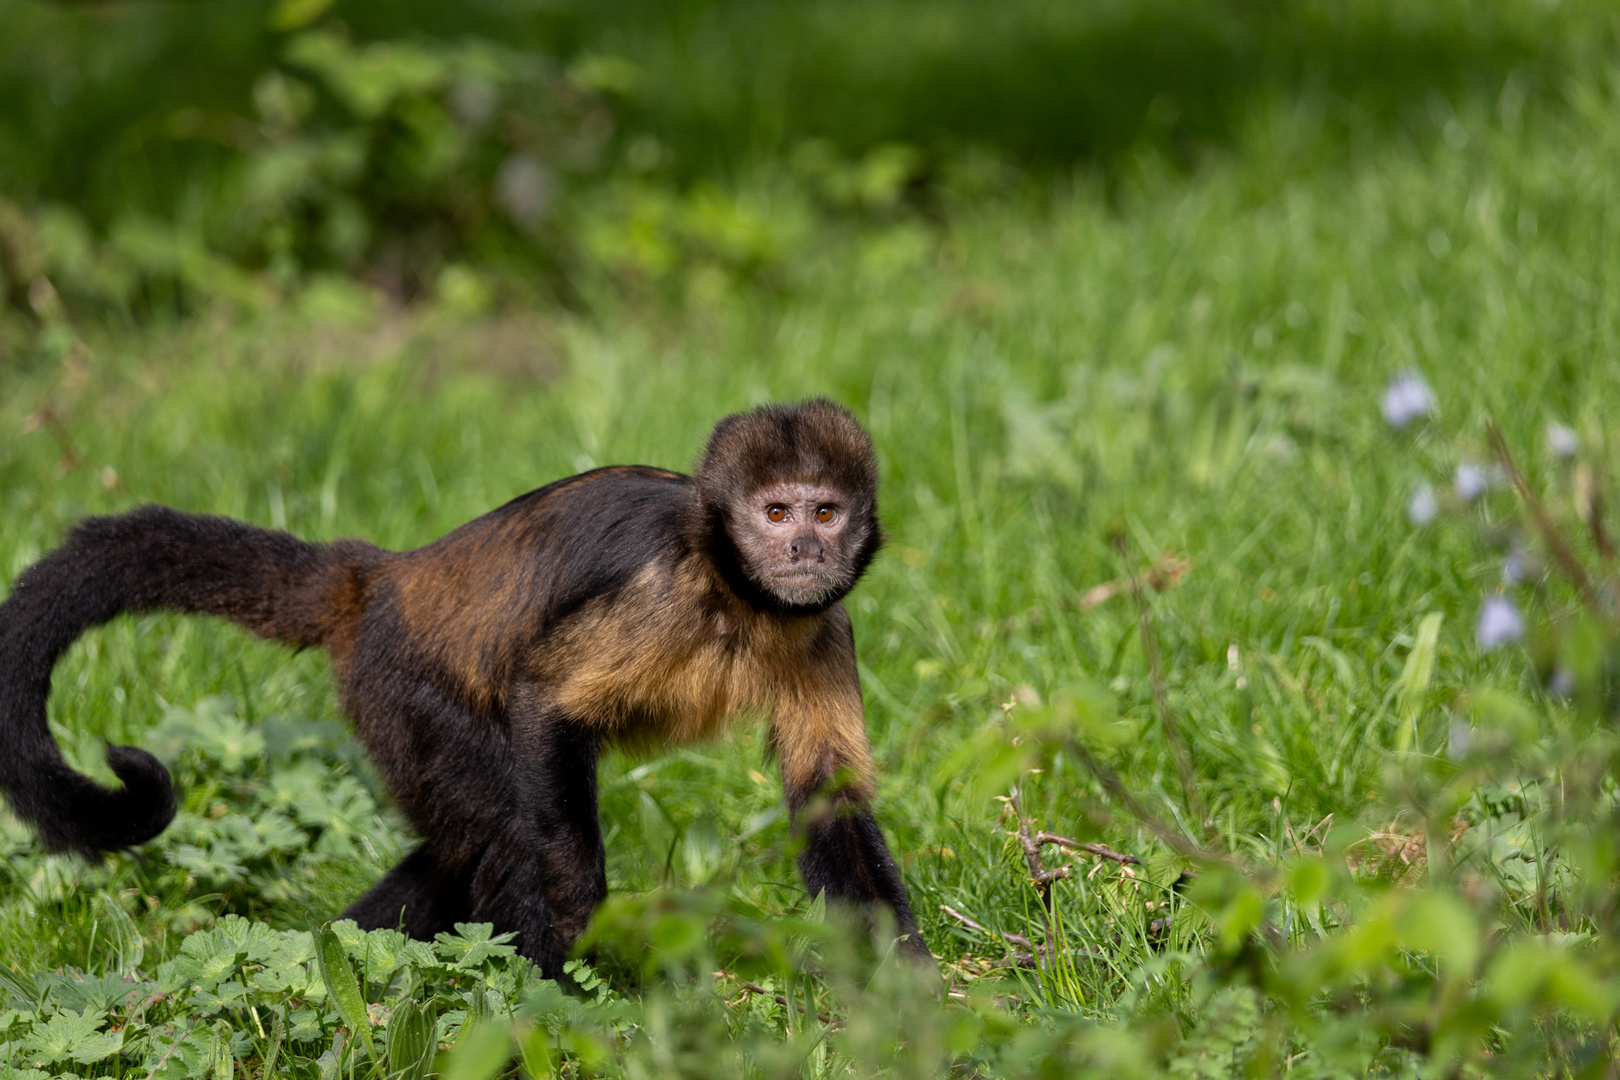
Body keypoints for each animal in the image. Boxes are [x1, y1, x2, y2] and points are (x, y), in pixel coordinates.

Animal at [0, 401, 933, 977]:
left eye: (825, 512)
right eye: (776, 514)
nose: (804, 550)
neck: (740, 597)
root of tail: (382, 580)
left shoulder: (824, 625)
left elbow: (828, 800)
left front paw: (913, 997)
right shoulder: (659, 592)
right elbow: (546, 704)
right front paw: (584, 934)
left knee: (455, 847)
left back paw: (338, 956)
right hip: (405, 693)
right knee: (502, 826)